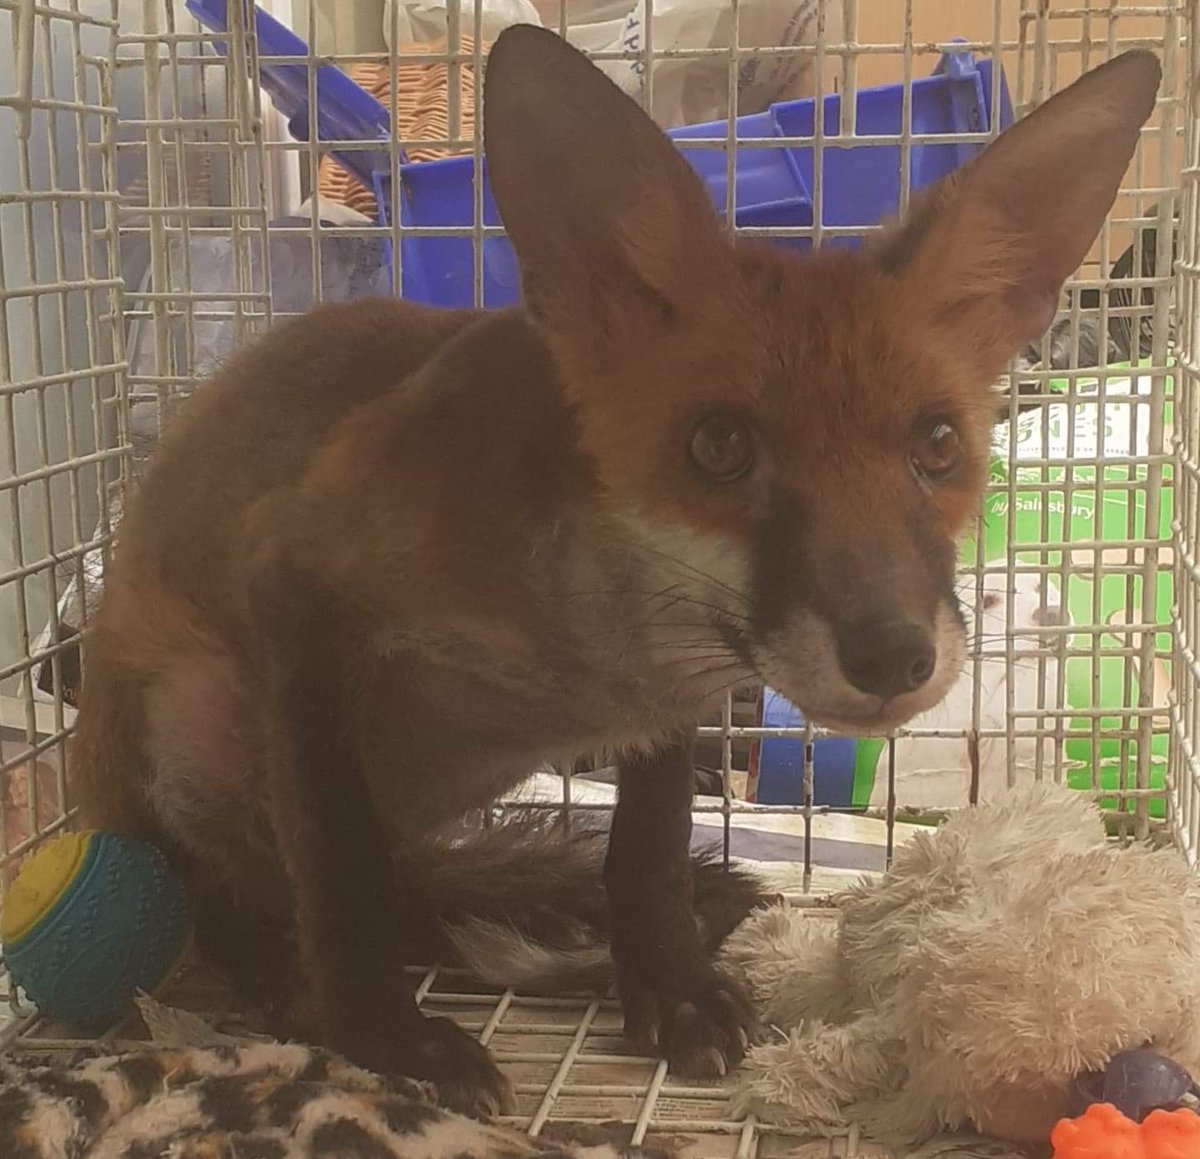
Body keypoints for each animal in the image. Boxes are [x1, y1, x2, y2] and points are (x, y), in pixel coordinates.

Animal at [71, 25, 1160, 1120]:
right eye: (720, 446)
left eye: (936, 445)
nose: (895, 654)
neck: (586, 655)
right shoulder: (295, 579)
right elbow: (342, 878)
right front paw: (385, 1037)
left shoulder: (668, 697)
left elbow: (644, 850)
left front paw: (667, 980)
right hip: (199, 711)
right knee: (237, 894)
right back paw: (278, 973)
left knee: (415, 883)